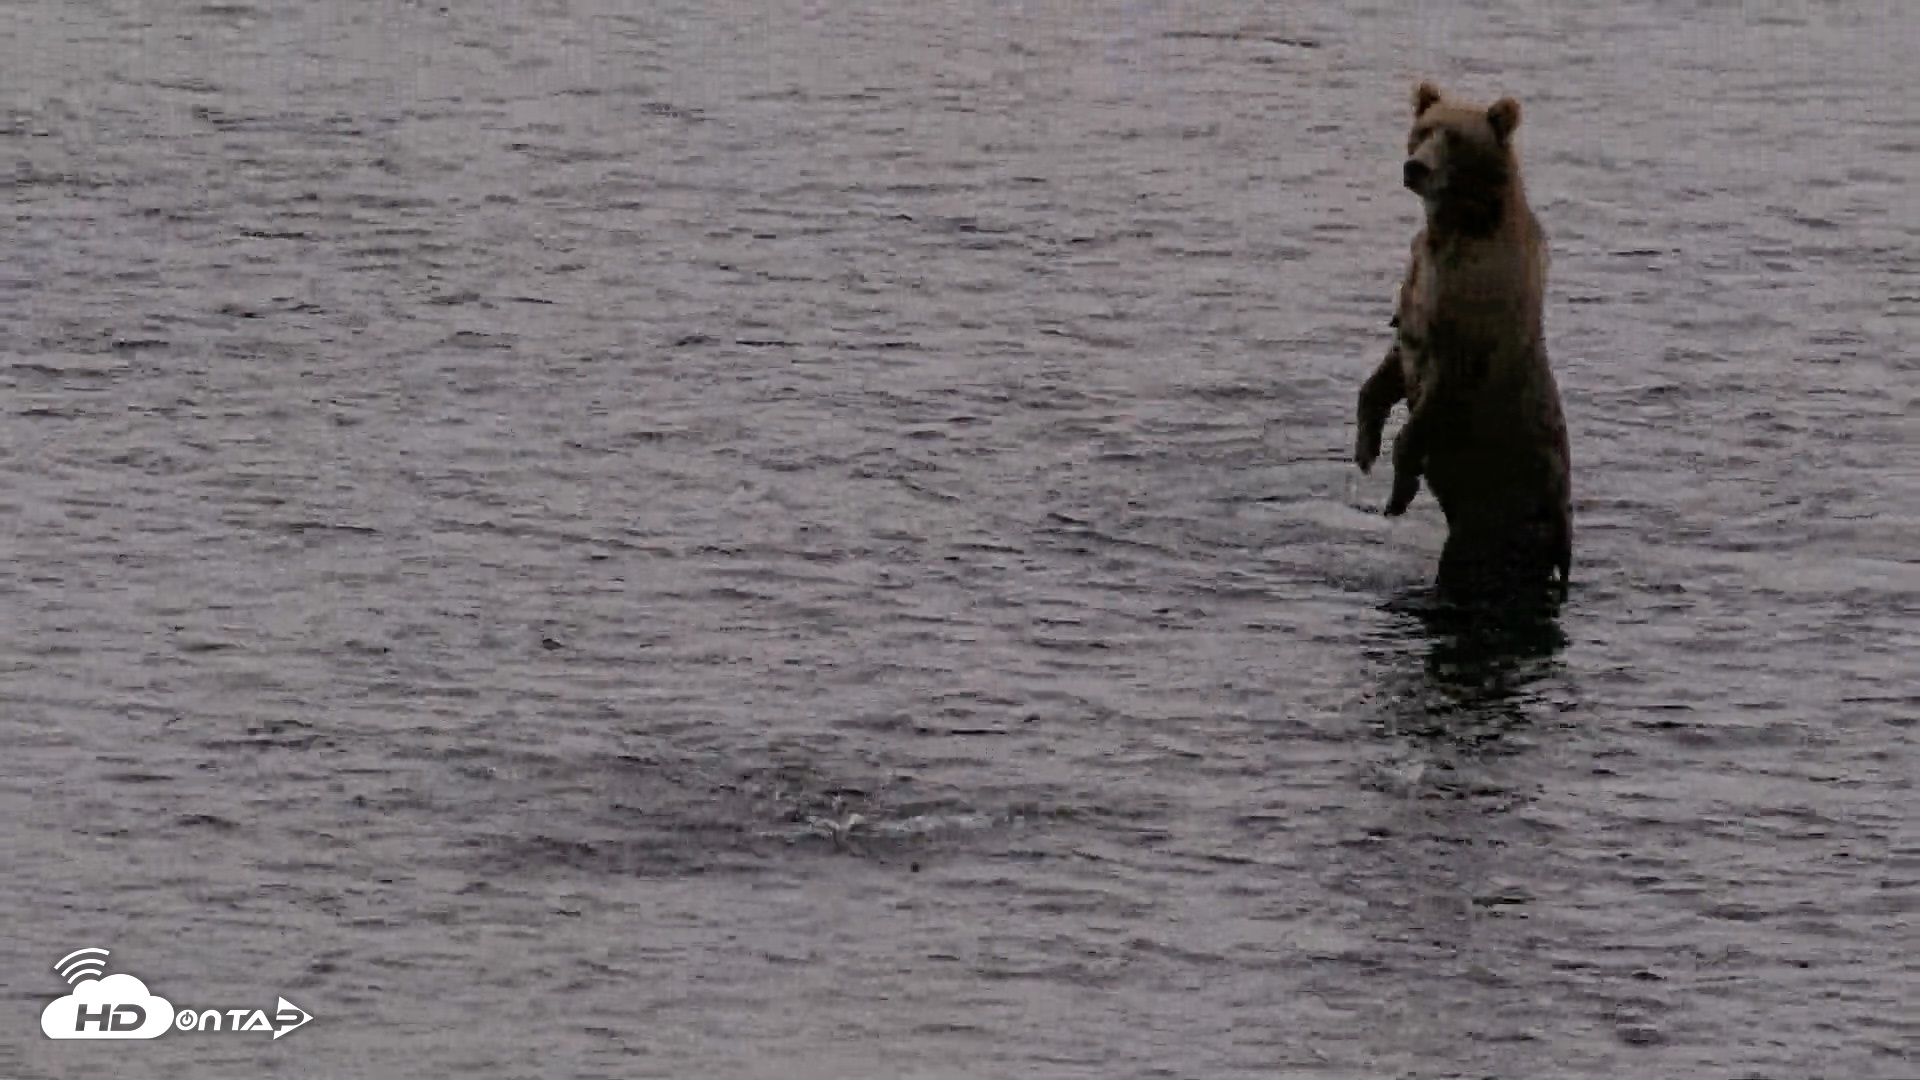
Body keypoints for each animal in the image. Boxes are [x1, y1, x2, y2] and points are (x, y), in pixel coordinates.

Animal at [1354, 80, 1572, 601]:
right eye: (1423, 130)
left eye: (1455, 139)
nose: (1415, 166)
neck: (1456, 229)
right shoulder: (1418, 285)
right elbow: (1389, 368)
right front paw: (1365, 448)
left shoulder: (1472, 311)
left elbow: (1435, 399)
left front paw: (1398, 489)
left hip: (1512, 511)